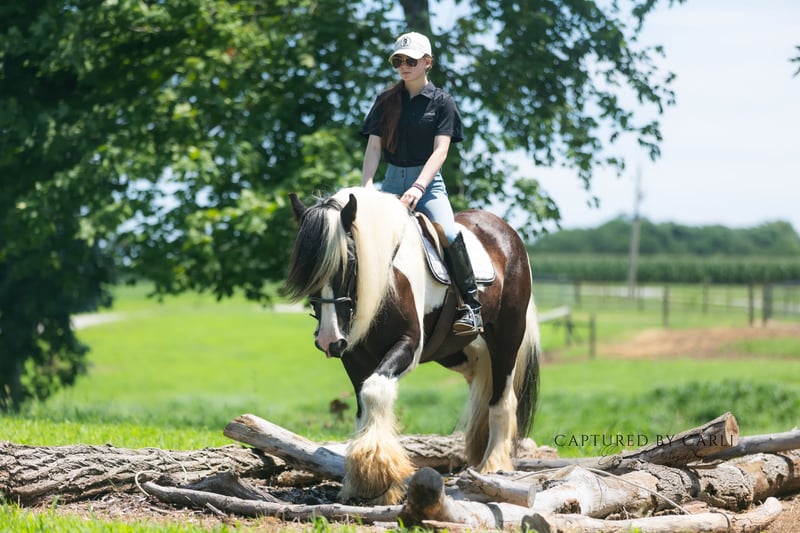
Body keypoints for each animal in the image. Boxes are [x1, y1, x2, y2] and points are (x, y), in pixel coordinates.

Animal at [283, 186, 541, 505]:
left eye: (351, 262)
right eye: (306, 268)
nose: (329, 340)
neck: (386, 275)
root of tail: (506, 231)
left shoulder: (407, 345)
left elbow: (375, 391)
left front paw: (377, 475)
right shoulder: (354, 357)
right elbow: (362, 407)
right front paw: (360, 483)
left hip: (506, 338)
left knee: (502, 400)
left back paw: (492, 465)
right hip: (462, 353)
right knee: (482, 386)